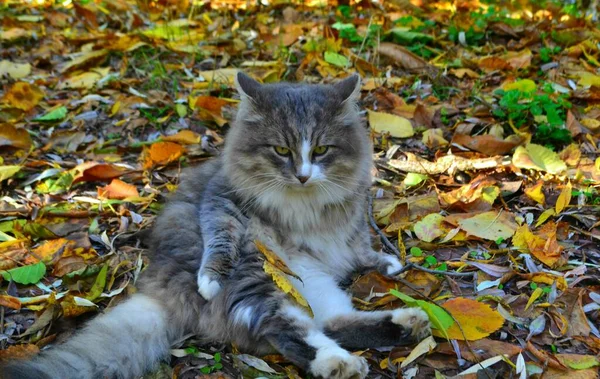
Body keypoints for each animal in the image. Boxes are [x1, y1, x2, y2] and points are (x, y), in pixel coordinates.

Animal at [1, 72, 432, 378]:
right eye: (281, 150)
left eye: (322, 150)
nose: (303, 175)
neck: (303, 203)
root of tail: (158, 285)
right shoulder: (222, 199)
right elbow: (220, 238)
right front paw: (209, 278)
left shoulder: (351, 217)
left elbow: (359, 245)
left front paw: (384, 262)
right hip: (261, 276)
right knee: (289, 329)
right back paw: (339, 362)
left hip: (310, 283)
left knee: (331, 320)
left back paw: (407, 323)